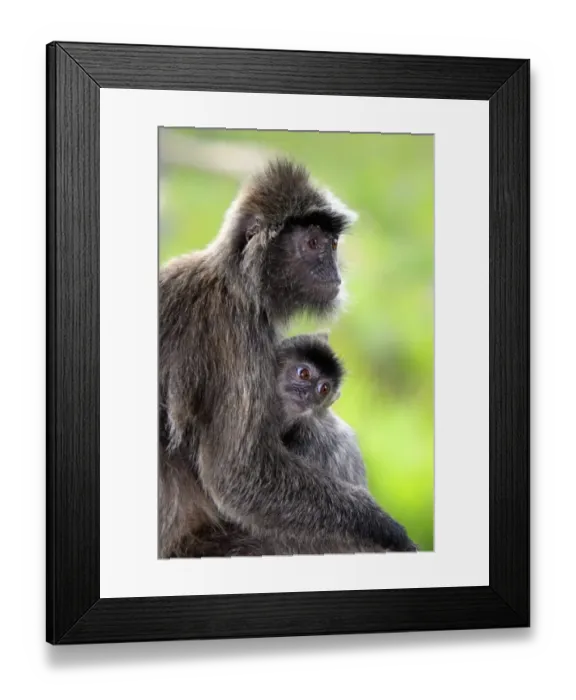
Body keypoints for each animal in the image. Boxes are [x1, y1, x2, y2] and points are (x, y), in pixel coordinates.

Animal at [158, 157, 418, 559]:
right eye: (312, 244)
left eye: (332, 243)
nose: (334, 270)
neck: (234, 281)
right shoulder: (236, 330)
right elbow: (239, 475)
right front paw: (390, 533)